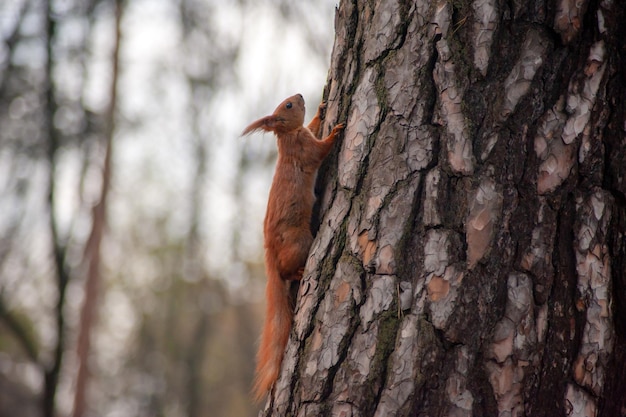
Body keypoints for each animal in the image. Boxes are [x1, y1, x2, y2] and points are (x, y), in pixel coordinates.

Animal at [241, 93, 344, 400]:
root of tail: (270, 253)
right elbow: (320, 150)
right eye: (287, 106)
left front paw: (321, 111)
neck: (286, 136)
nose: (299, 95)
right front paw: (335, 132)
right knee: (286, 272)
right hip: (300, 242)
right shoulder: (304, 149)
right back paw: (297, 273)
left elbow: (313, 126)